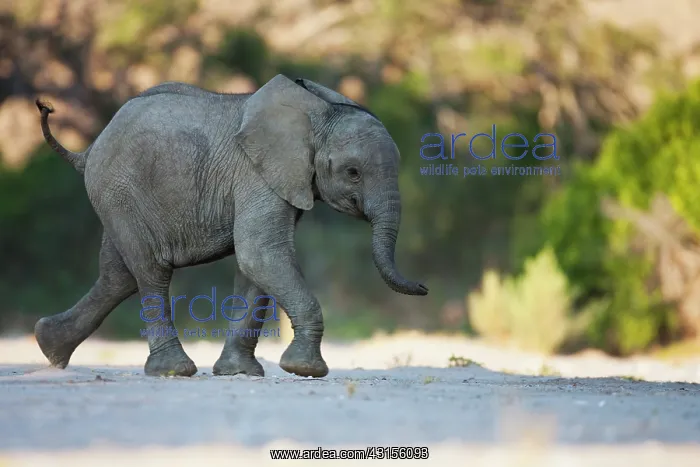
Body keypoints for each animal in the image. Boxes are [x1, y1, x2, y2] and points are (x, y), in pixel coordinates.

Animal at [32, 74, 428, 378]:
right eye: (353, 173)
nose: (425, 287)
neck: (318, 112)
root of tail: (89, 150)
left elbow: (256, 264)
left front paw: (240, 373)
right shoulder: (257, 175)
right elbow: (260, 253)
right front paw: (305, 370)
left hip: (117, 196)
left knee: (119, 276)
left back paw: (49, 347)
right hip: (120, 191)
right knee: (150, 269)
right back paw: (174, 370)